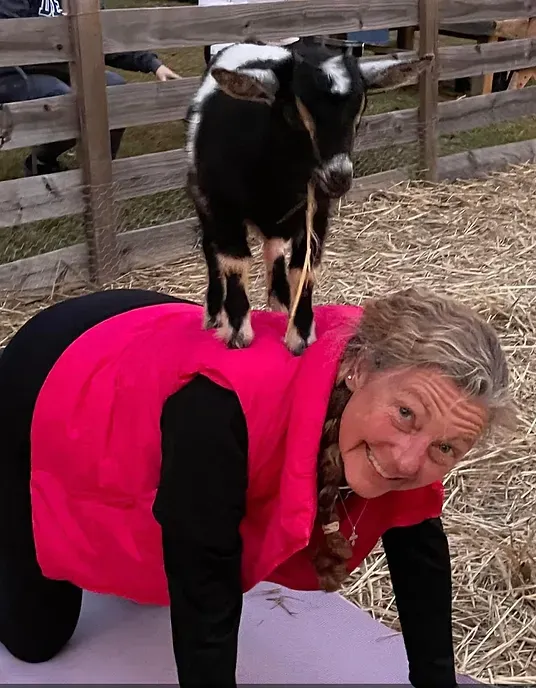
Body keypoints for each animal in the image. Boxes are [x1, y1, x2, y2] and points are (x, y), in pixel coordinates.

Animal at [186, 40, 430, 355]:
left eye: (359, 111)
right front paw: (238, 333)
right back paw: (215, 313)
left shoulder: (317, 212)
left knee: (274, 247)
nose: (338, 176)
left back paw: (280, 302)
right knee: (211, 250)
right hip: (202, 199)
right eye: (293, 112)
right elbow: (234, 263)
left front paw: (299, 333)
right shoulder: (223, 206)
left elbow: (303, 268)